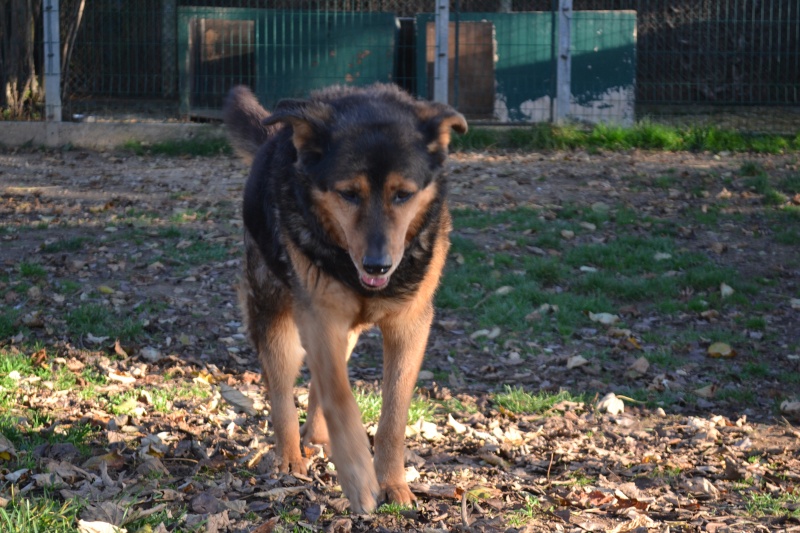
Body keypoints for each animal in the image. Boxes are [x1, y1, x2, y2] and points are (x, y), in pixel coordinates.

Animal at [222, 82, 466, 512]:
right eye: (349, 194)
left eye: (403, 195)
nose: (378, 266)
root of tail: (276, 136)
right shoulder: (319, 317)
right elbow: (339, 395)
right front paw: (358, 478)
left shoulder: (409, 326)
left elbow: (393, 417)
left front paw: (393, 483)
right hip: (277, 318)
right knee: (282, 390)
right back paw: (290, 457)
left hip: (342, 332)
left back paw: (318, 438)